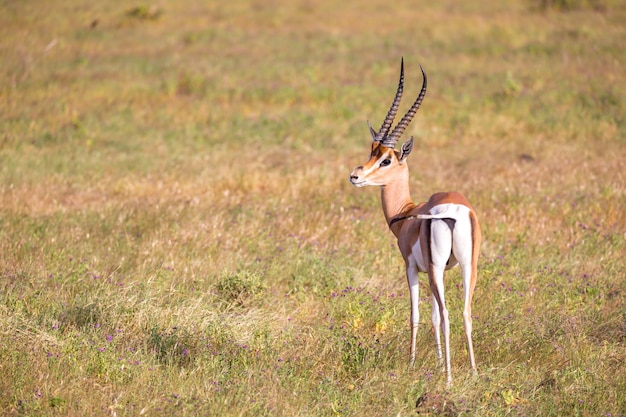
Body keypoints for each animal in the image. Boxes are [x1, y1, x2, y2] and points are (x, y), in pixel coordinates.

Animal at [348, 59, 480, 384]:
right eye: (371, 151)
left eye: (386, 159)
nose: (355, 176)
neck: (407, 214)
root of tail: (454, 210)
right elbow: (432, 316)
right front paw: (436, 362)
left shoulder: (411, 267)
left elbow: (417, 315)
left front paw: (411, 363)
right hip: (468, 265)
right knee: (465, 312)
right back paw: (473, 372)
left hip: (436, 269)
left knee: (447, 315)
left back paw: (449, 378)